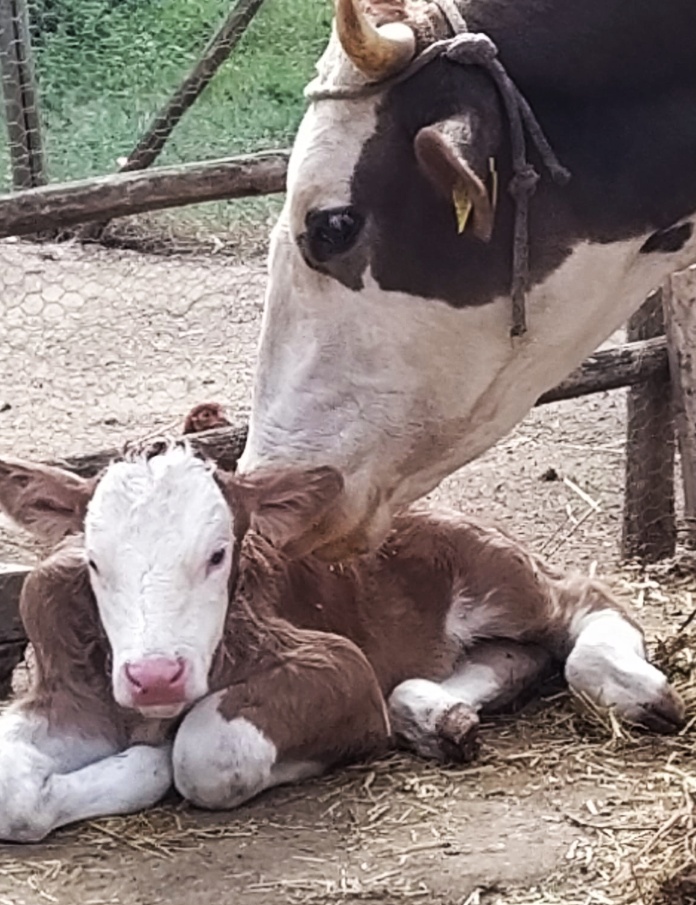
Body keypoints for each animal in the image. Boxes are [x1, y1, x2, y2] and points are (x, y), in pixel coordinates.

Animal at [0, 442, 684, 844]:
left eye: (218, 555)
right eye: (95, 562)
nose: (154, 676)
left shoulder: (339, 665)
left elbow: (206, 754)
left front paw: (153, 760)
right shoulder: (72, 690)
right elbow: (13, 789)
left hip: (491, 567)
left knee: (583, 602)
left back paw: (634, 687)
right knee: (509, 657)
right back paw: (437, 717)